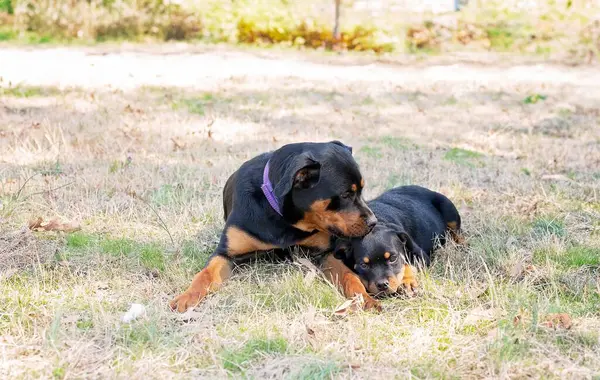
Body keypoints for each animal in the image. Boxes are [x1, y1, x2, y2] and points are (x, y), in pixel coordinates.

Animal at [168, 140, 380, 312]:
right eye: (345, 194)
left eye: (361, 190)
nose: (373, 222)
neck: (284, 218)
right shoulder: (225, 253)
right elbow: (204, 274)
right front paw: (187, 296)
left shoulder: (325, 253)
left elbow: (349, 275)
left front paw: (364, 298)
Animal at [330, 186, 462, 298]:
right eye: (363, 265)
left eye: (393, 258)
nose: (382, 284)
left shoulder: (421, 255)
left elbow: (408, 264)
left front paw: (407, 282)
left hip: (449, 209)